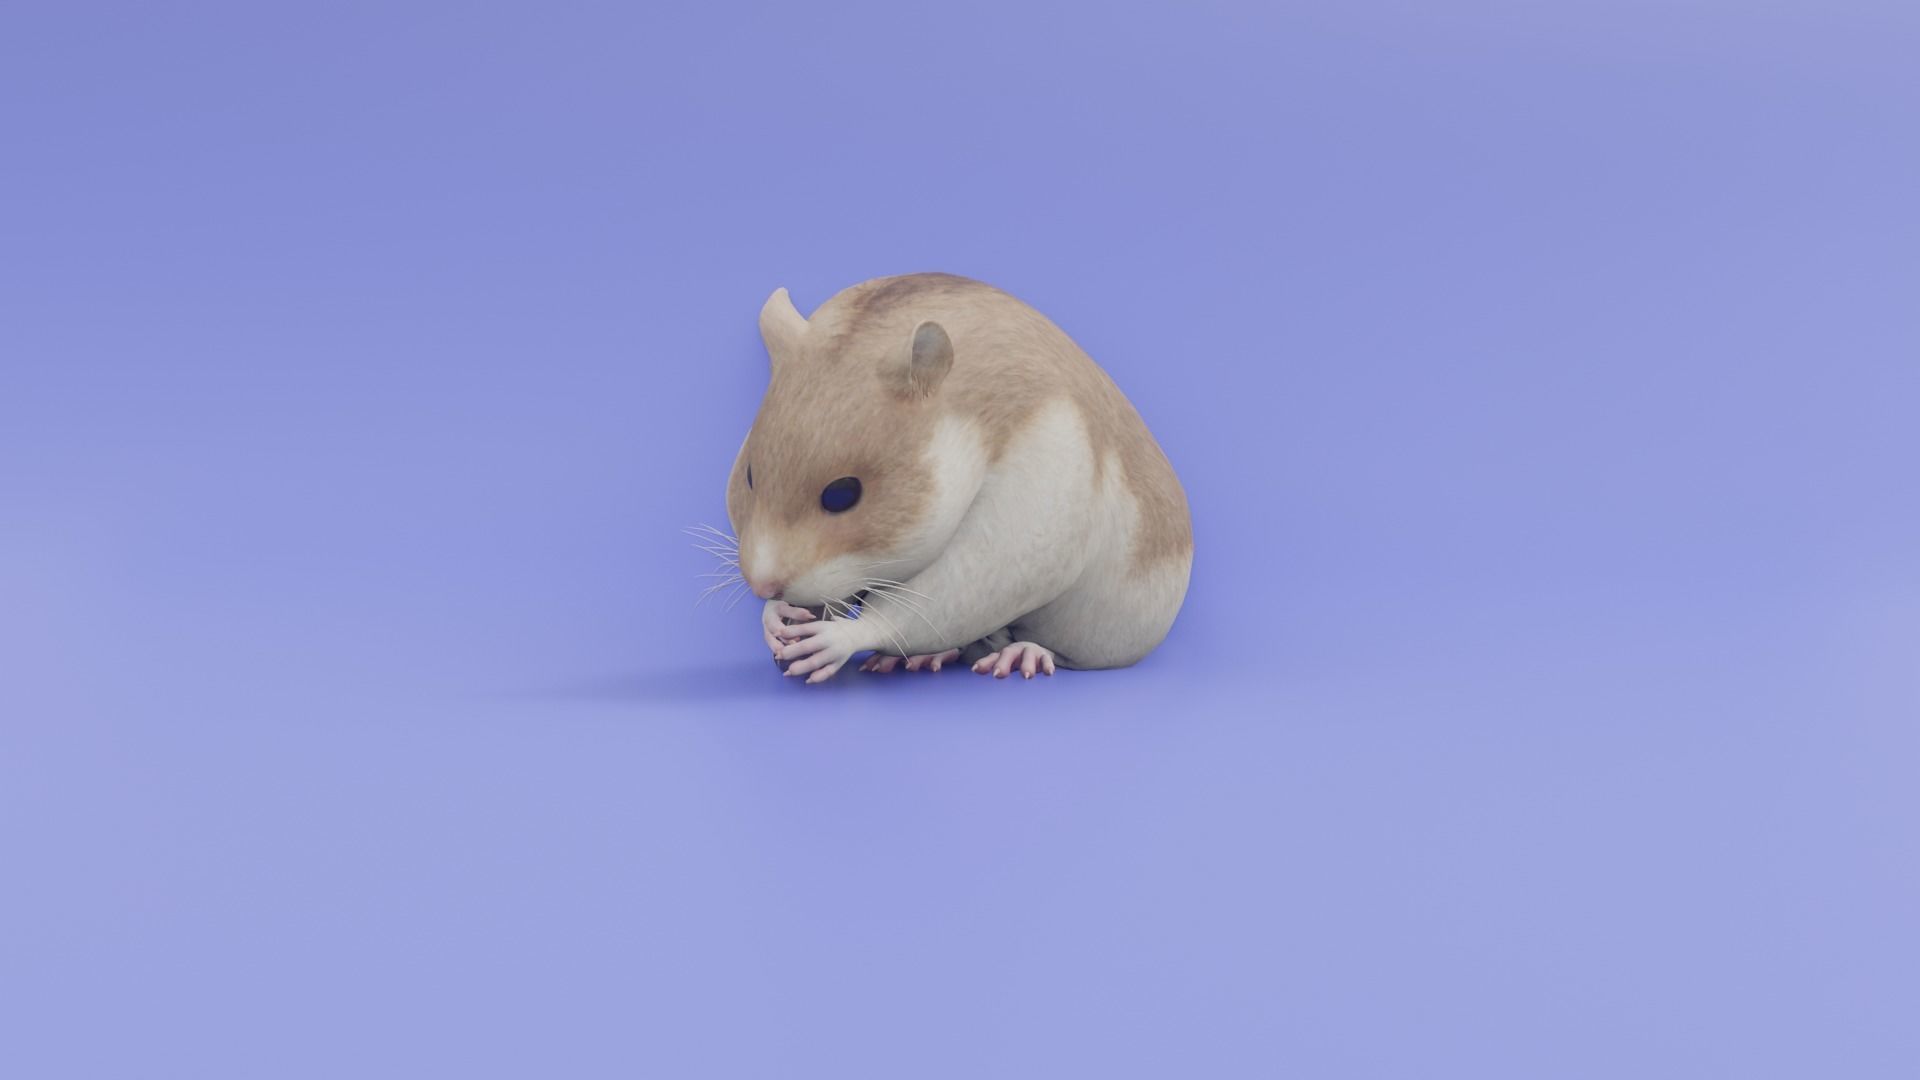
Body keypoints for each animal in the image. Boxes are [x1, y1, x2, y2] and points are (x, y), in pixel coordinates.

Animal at [727, 272, 1192, 683]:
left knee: (1057, 650)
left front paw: (838, 637)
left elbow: (972, 583)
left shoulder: (1044, 477)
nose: (762, 585)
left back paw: (1021, 652)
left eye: (842, 494)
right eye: (749, 475)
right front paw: (774, 617)